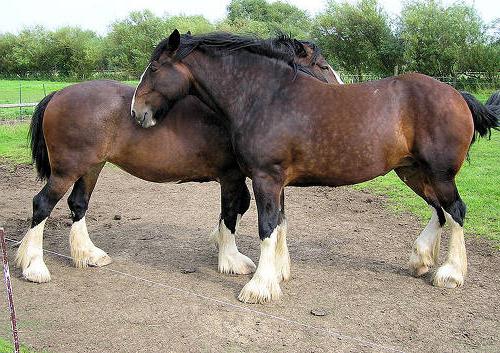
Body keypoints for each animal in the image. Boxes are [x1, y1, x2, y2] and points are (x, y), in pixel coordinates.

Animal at [15, 35, 338, 284]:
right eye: (323, 66)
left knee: (78, 203)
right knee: (42, 204)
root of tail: (59, 94)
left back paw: (89, 255)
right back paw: (35, 267)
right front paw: (231, 259)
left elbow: (238, 209)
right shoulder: (232, 175)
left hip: (91, 167)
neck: (247, 102)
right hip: (66, 170)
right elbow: (232, 210)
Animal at [131, 31, 498, 302]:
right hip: (413, 171)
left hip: (438, 173)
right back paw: (421, 259)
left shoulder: (265, 178)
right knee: (439, 210)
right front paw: (278, 274)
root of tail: (457, 95)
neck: (264, 96)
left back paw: (451, 274)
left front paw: (259, 287)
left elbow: (267, 228)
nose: (137, 112)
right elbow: (280, 224)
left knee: (456, 211)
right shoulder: (275, 182)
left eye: (154, 68)